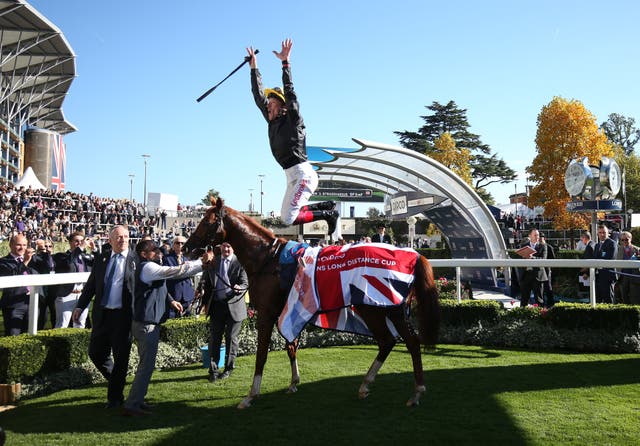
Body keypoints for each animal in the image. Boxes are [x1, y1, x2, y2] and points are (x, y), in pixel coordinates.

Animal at [185, 198, 440, 408]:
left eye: (206, 222)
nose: (187, 247)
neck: (268, 258)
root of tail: (413, 255)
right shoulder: (286, 311)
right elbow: (291, 346)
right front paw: (293, 382)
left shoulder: (266, 313)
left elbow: (262, 354)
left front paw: (250, 395)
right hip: (379, 309)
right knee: (394, 341)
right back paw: (373, 386)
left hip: (383, 308)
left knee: (404, 342)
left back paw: (411, 391)